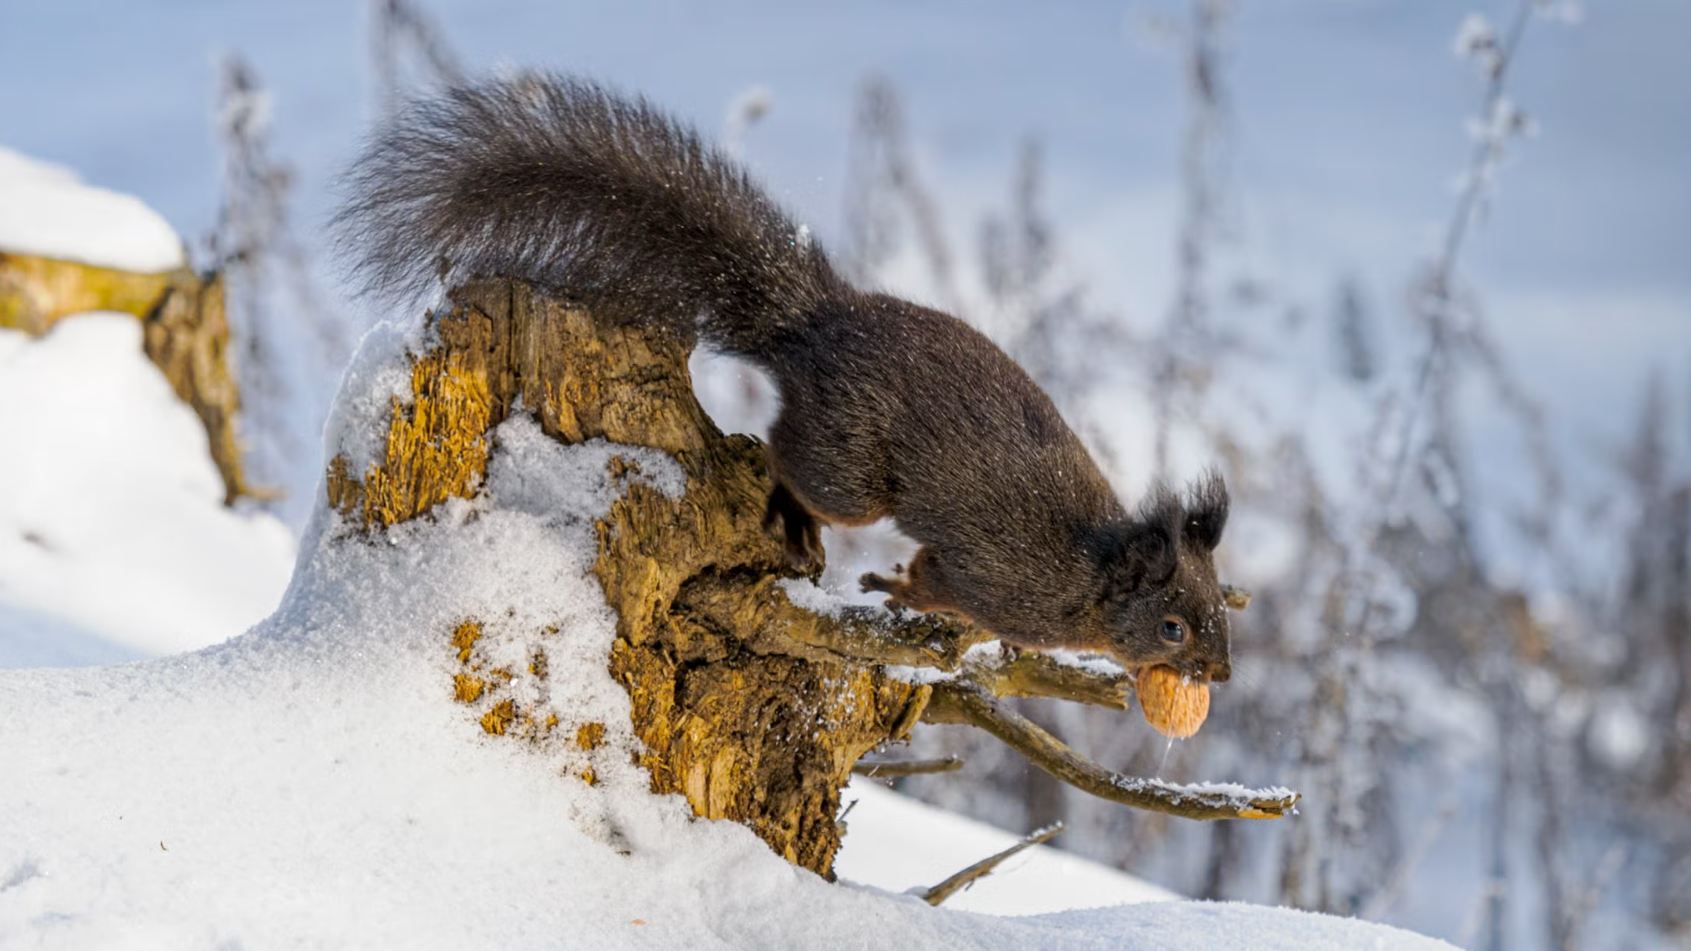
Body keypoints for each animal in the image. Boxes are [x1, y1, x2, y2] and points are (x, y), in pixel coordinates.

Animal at [334, 74, 1234, 684]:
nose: (1219, 675)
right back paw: (793, 515)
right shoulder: (1000, 577)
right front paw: (897, 588)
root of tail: (813, 324)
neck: (1089, 574)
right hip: (849, 464)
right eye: (1174, 628)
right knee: (779, 453)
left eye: (1221, 606)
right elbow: (936, 582)